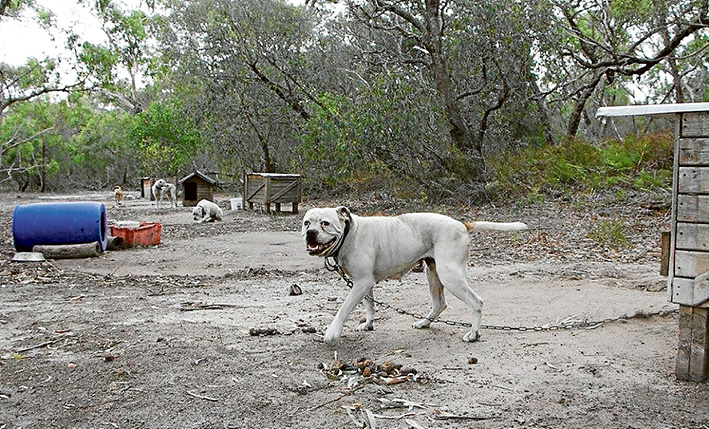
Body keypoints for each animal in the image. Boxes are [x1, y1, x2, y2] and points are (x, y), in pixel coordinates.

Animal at [302, 206, 528, 342]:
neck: (350, 233)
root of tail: (461, 224)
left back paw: (473, 334)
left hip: (450, 276)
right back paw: (424, 322)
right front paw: (368, 324)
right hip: (433, 274)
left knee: (476, 302)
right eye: (306, 223)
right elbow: (369, 305)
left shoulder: (361, 283)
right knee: (439, 303)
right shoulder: (363, 283)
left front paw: (333, 331)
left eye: (325, 223)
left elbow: (344, 308)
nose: (310, 233)